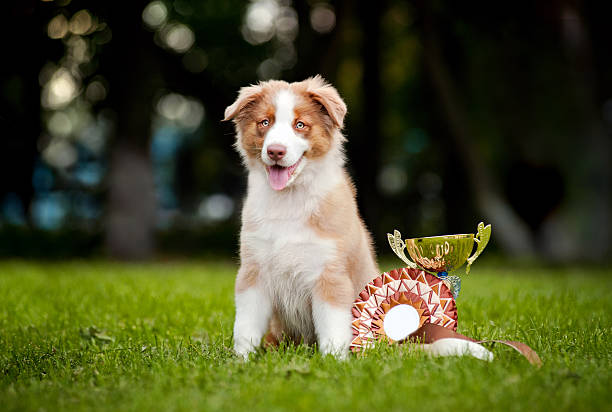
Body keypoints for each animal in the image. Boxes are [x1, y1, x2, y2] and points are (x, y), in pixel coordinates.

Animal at [225, 76, 378, 358]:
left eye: (300, 125)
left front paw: (334, 361)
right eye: (265, 122)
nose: (275, 151)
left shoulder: (330, 273)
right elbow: (245, 326)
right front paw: (241, 360)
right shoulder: (254, 270)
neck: (289, 200)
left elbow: (333, 327)